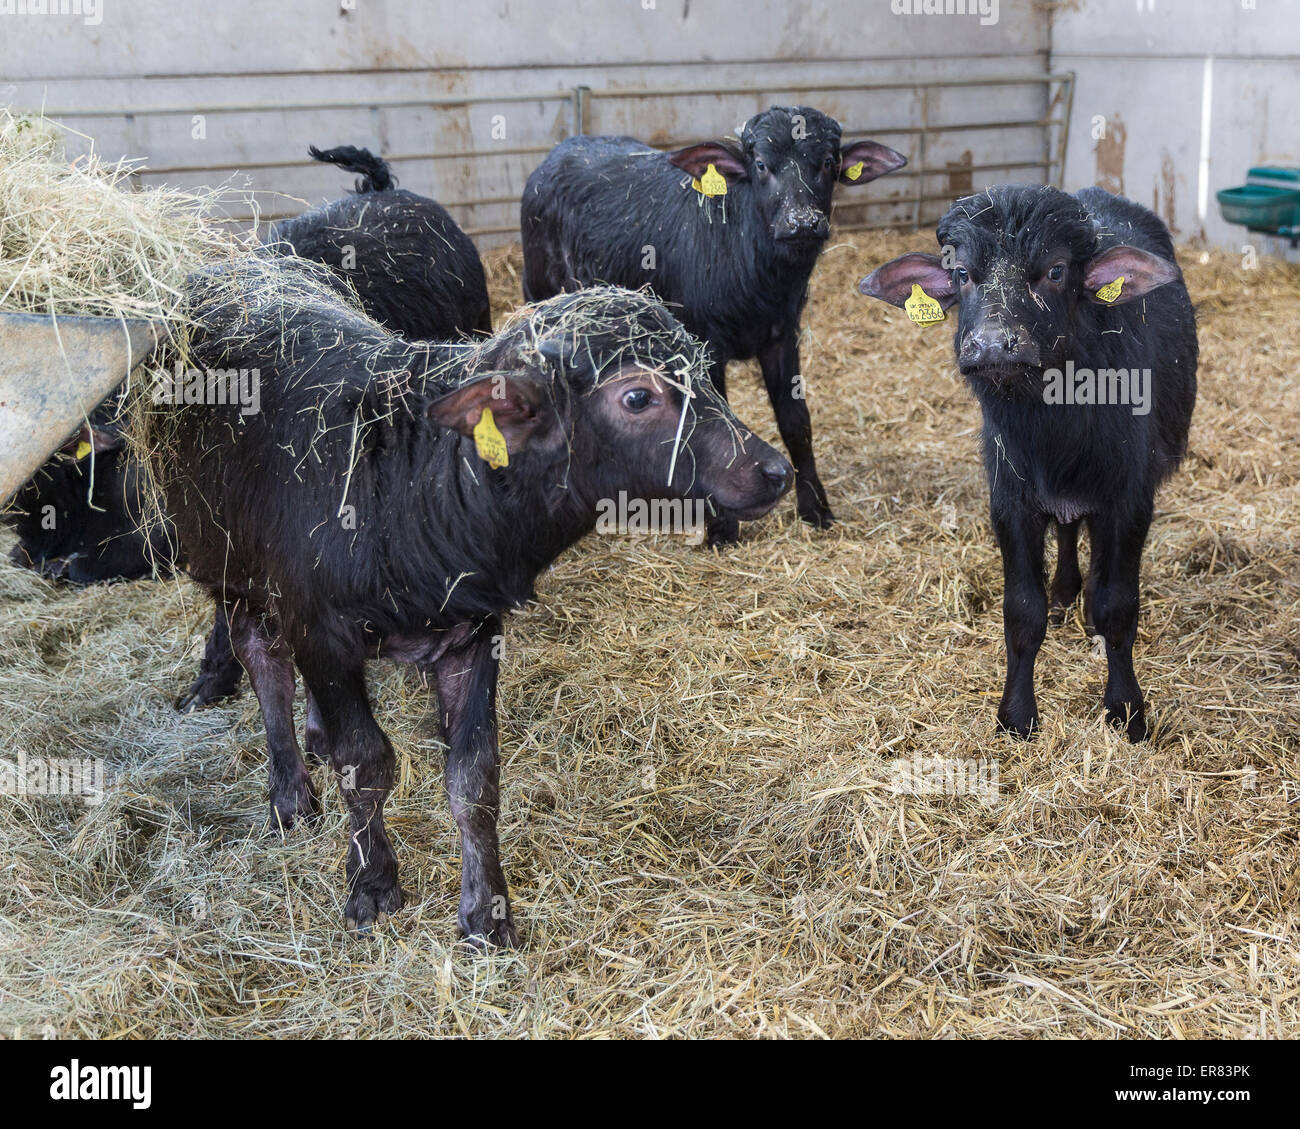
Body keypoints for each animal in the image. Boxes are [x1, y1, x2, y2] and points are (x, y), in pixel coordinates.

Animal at [517, 106, 904, 546]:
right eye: (761, 165)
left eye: (826, 161)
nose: (803, 223)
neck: (755, 270)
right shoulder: (706, 344)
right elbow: (715, 420)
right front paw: (722, 526)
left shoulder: (782, 336)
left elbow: (796, 421)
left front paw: (815, 507)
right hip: (539, 290)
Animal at [863, 184, 1196, 738]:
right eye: (961, 273)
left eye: (1056, 270)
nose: (993, 345)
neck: (1053, 428)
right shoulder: (1011, 500)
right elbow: (1022, 612)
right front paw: (1016, 715)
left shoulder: (1129, 500)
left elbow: (1118, 607)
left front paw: (1126, 710)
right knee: (1067, 529)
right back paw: (1065, 594)